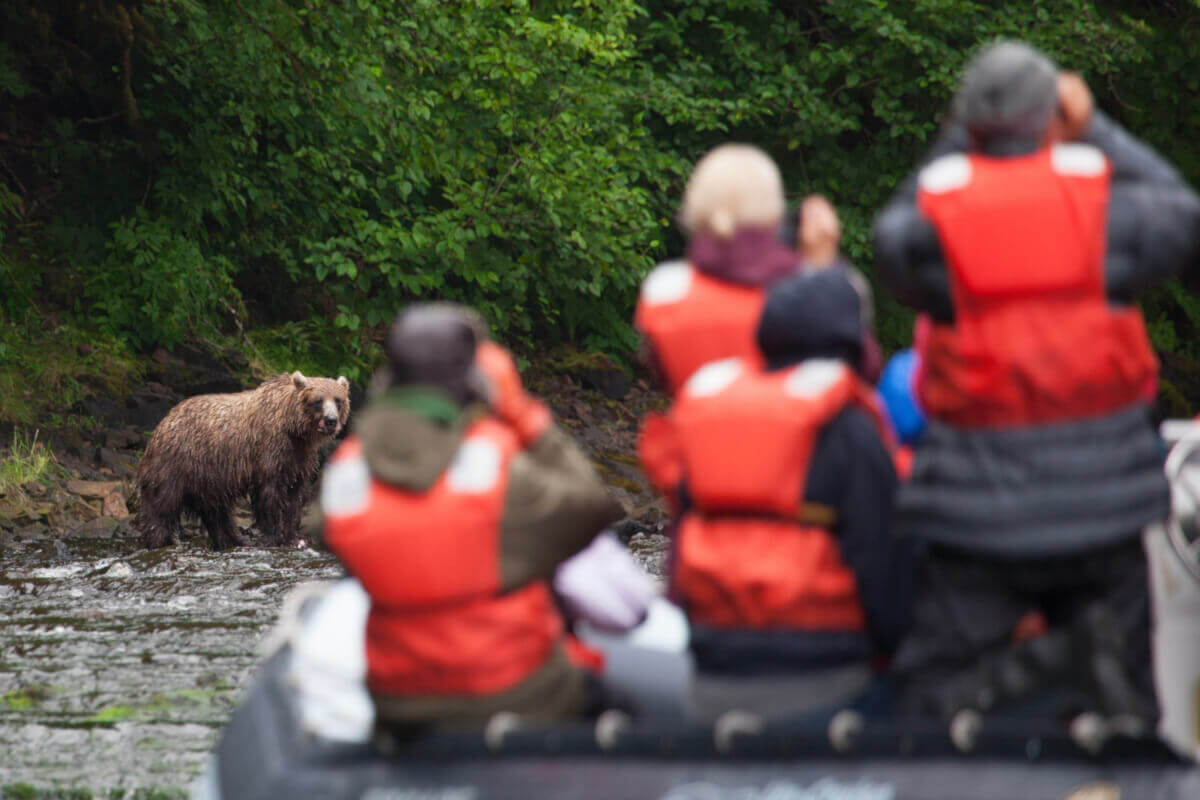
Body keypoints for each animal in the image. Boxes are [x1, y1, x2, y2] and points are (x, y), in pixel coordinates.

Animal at [135, 371, 351, 550]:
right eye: (318, 400)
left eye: (338, 400)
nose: (331, 421)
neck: (294, 429)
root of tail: (163, 422)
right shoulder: (269, 451)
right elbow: (270, 494)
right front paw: (275, 536)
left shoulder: (299, 458)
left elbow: (295, 496)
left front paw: (295, 537)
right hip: (176, 462)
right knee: (162, 504)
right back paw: (157, 540)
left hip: (208, 475)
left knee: (216, 510)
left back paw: (233, 540)